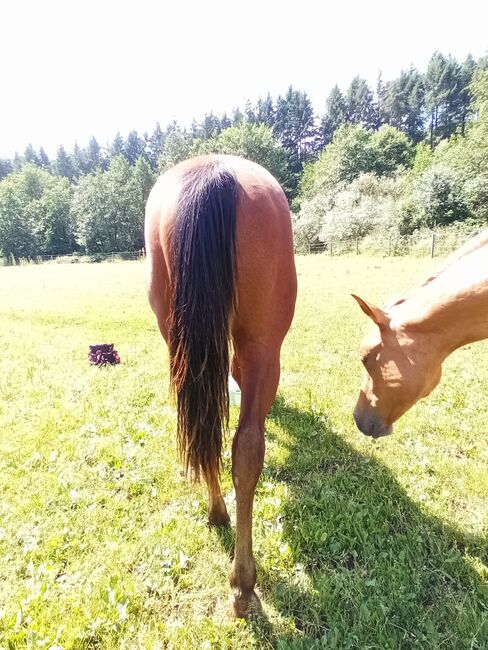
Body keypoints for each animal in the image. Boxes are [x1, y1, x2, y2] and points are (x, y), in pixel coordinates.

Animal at [144, 154, 298, 616]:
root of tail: (212, 172)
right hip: (263, 345)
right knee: (245, 447)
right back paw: (243, 582)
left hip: (180, 340)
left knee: (204, 429)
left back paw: (218, 516)